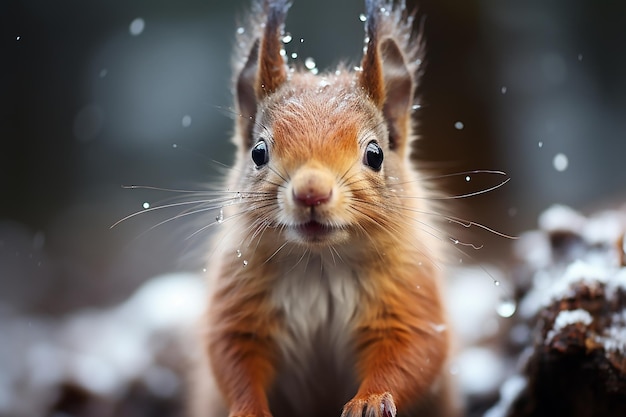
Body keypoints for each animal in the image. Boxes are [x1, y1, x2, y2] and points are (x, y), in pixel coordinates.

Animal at [189, 0, 454, 416]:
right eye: (258, 153)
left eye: (375, 154)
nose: (311, 193)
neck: (319, 262)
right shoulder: (236, 303)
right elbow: (232, 358)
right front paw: (248, 409)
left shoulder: (411, 297)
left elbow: (412, 353)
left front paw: (369, 400)